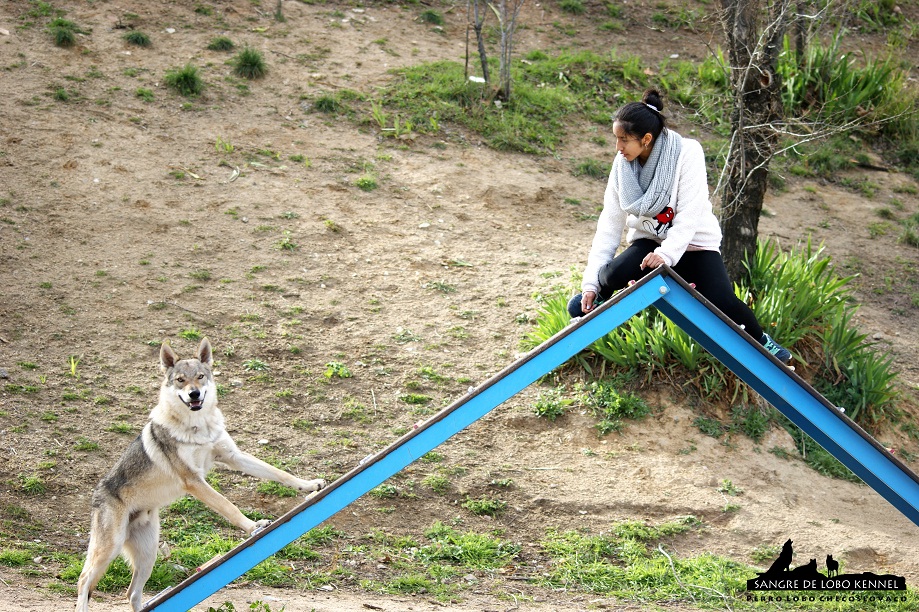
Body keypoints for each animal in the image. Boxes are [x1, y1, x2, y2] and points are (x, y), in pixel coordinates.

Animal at [76, 340, 328, 612]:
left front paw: (310, 485)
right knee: (84, 580)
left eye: (199, 377)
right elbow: (228, 506)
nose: (194, 394)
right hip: (110, 548)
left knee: (131, 593)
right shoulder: (194, 480)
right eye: (180, 380)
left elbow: (278, 473)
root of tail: (96, 494)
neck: (197, 425)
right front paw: (254, 526)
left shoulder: (233, 456)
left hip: (148, 554)